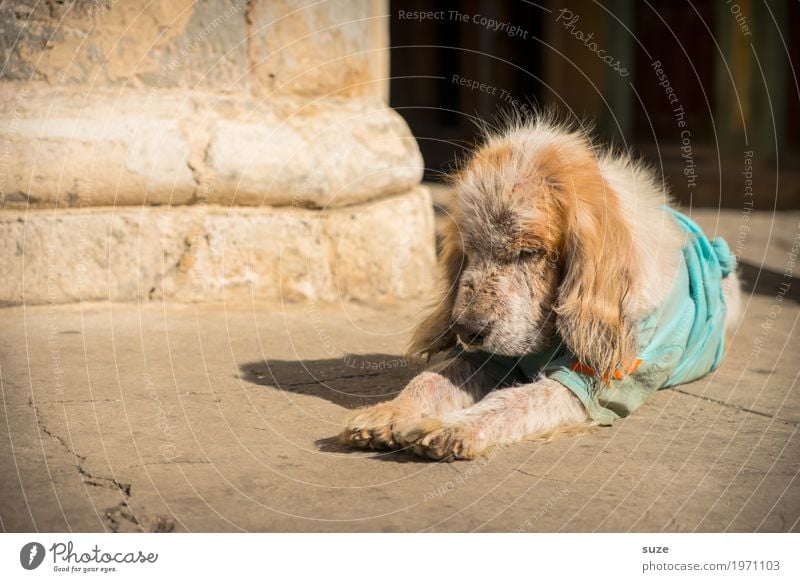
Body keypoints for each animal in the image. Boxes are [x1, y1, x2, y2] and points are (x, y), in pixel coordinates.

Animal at [340, 113, 744, 460]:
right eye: (469, 250)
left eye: (529, 252)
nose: (467, 329)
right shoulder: (485, 356)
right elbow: (429, 379)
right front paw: (387, 412)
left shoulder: (585, 383)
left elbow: (514, 402)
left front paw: (452, 428)